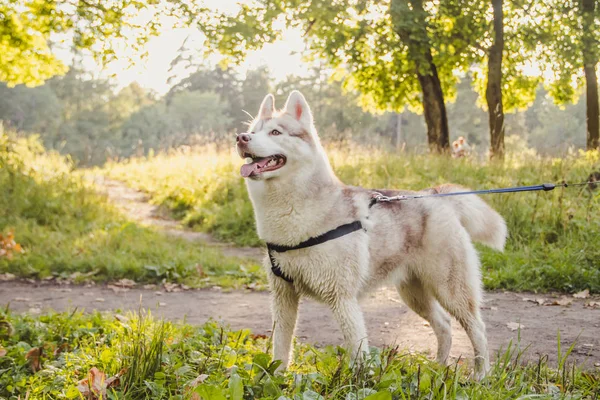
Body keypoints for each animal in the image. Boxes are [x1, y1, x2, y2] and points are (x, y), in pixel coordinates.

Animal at [234, 91, 506, 382]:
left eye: (275, 132)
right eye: (253, 130)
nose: (241, 137)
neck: (294, 217)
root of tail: (434, 194)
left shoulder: (342, 298)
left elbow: (357, 349)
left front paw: (356, 383)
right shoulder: (283, 296)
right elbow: (280, 346)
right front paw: (275, 378)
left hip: (451, 290)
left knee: (477, 328)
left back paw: (481, 374)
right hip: (414, 294)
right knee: (443, 324)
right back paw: (438, 366)